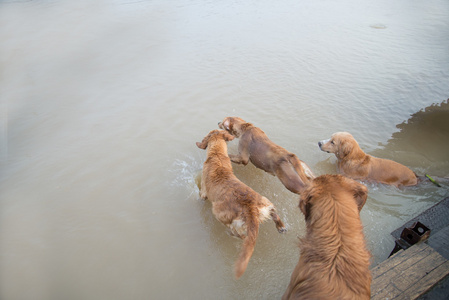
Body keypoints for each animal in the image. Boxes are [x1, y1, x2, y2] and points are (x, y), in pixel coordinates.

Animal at [196, 129, 288, 278]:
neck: (217, 155)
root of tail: (251, 210)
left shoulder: (204, 192)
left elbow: (201, 196)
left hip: (219, 212)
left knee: (240, 234)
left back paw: (231, 234)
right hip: (265, 202)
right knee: (274, 213)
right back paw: (281, 227)